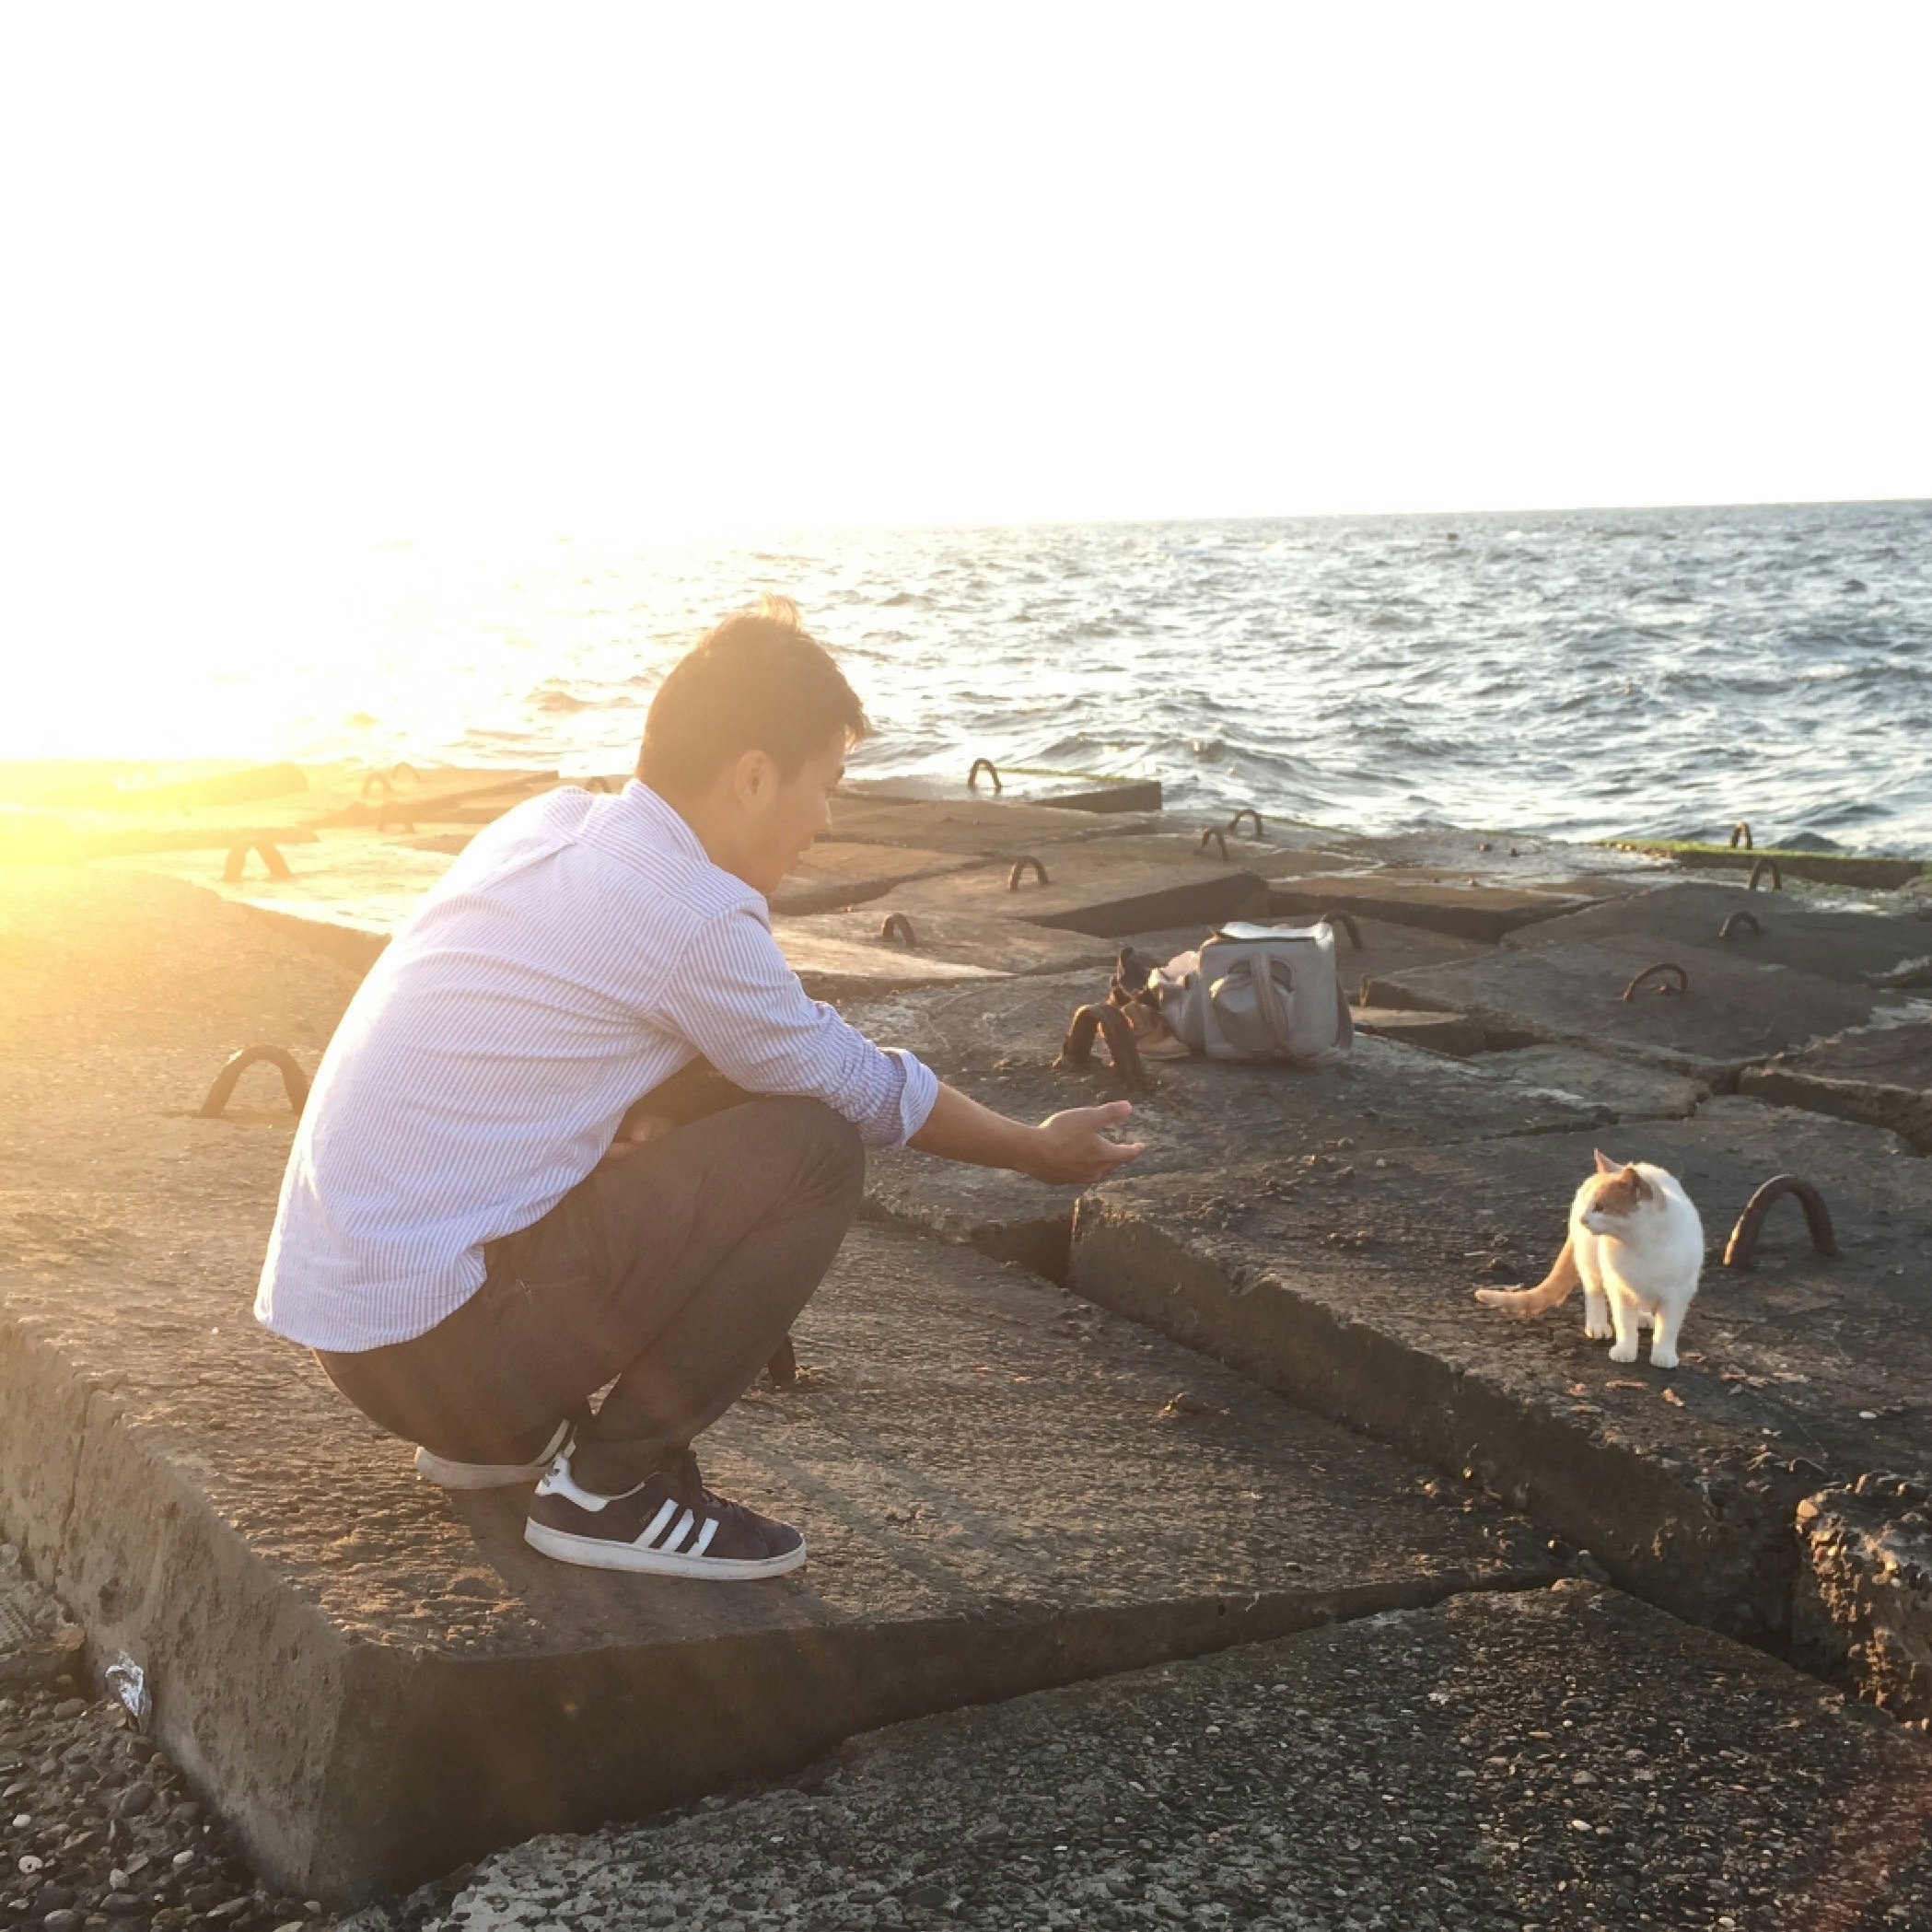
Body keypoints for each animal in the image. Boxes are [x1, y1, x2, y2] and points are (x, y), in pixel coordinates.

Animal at [1474, 1150, 1704, 1369]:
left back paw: (1643, 1317)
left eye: (1600, 1207)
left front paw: (1663, 1354)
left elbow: (1667, 1328)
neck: (1640, 1244)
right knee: (1594, 1292)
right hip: (1590, 1261)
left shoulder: (1677, 1295)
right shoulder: (1618, 1287)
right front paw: (1625, 1349)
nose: (1582, 1219)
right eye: (1590, 1206)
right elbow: (1624, 1322)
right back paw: (1598, 1325)